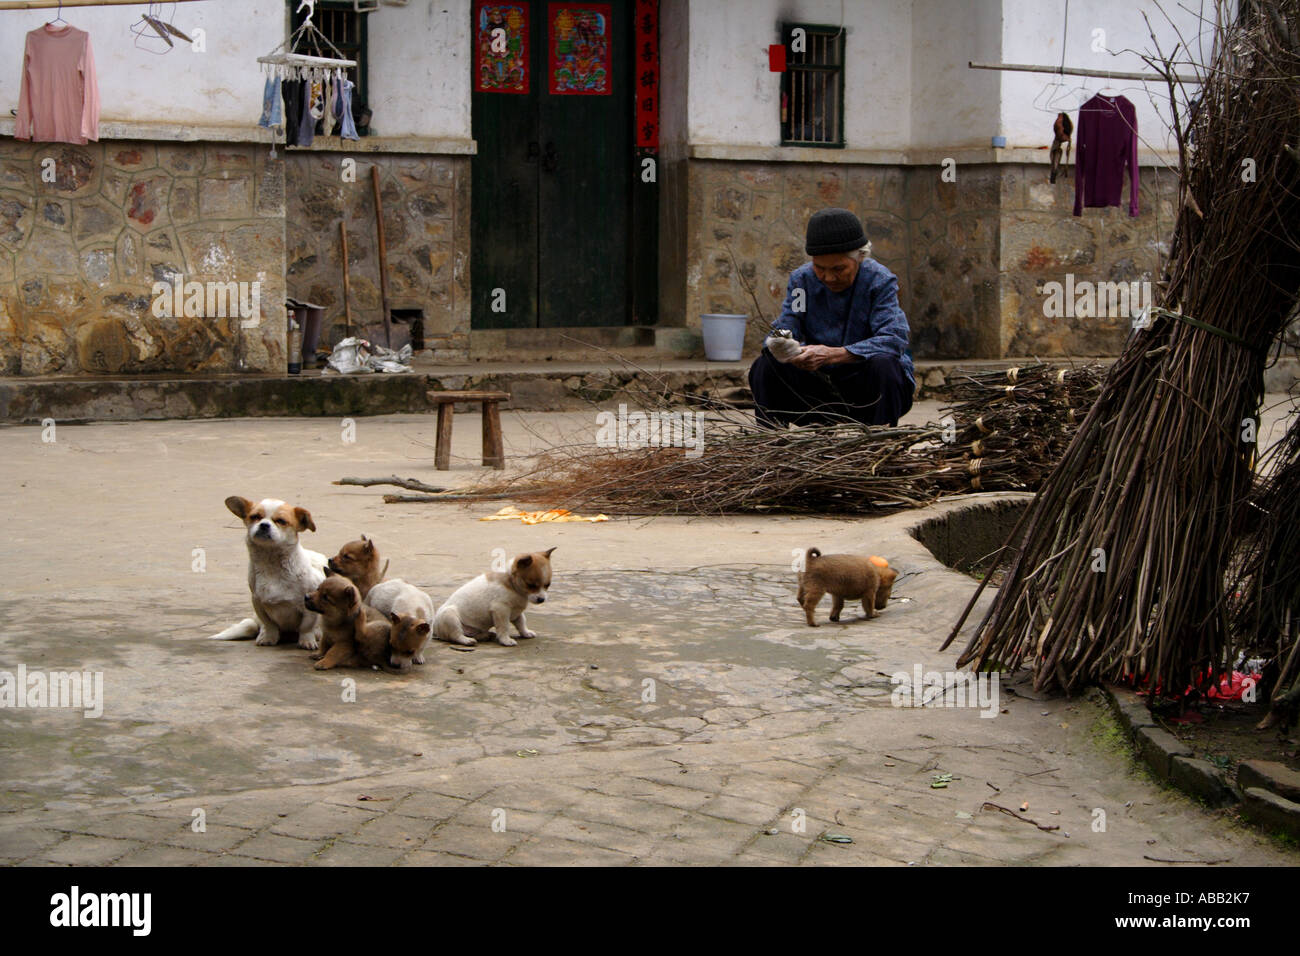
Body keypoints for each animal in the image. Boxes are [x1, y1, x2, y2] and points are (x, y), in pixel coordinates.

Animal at [210, 494, 327, 650]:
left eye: (281, 521)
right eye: (255, 517)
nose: (264, 525)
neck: (271, 563)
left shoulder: (309, 606)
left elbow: (306, 627)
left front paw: (306, 640)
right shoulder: (258, 603)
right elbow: (269, 624)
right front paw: (268, 637)